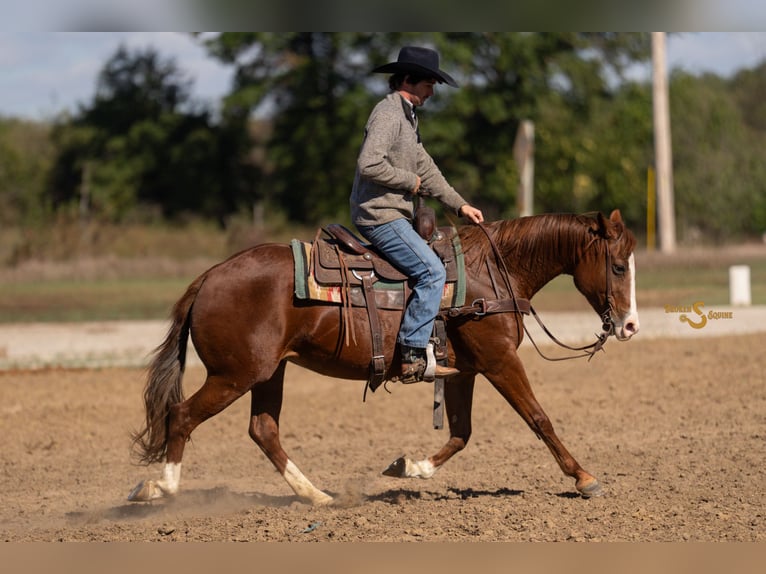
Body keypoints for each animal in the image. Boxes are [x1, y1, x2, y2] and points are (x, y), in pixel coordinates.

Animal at [128, 209, 638, 505]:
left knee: (263, 430)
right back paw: (158, 487)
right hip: (235, 374)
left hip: (268, 373)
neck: (492, 272)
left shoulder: (463, 371)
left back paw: (317, 496)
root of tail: (210, 277)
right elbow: (539, 418)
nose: (630, 325)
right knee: (182, 415)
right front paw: (584, 477)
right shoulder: (499, 362)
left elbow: (461, 433)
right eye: (617, 266)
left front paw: (409, 467)